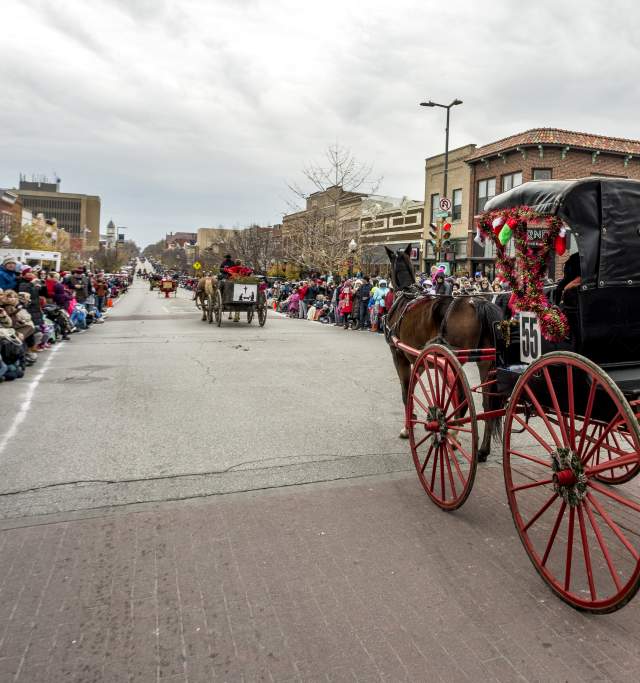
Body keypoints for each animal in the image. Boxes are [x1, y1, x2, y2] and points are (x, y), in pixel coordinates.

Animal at [382, 243, 502, 462]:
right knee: (488, 404)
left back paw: (452, 435)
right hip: (485, 362)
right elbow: (413, 389)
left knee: (461, 399)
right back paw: (482, 450)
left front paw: (407, 428)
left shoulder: (399, 355)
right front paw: (412, 420)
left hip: (454, 359)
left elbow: (406, 392)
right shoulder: (420, 359)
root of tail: (477, 302)